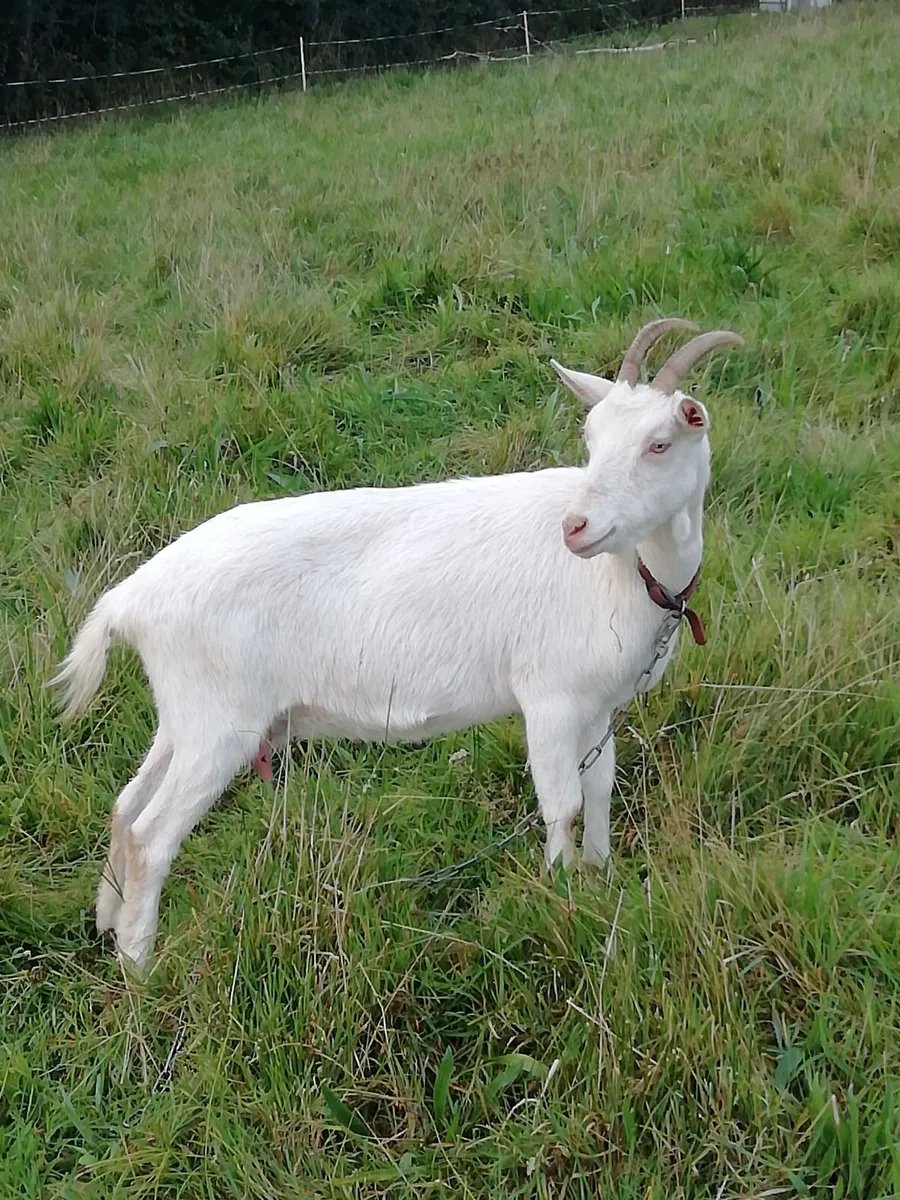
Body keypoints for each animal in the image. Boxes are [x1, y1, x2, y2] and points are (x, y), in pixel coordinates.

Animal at [53, 319, 743, 971]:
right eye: (592, 440)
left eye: (658, 444)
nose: (576, 528)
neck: (630, 573)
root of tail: (131, 600)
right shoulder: (548, 697)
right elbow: (562, 803)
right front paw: (560, 893)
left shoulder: (598, 704)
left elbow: (599, 790)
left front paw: (600, 882)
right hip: (220, 724)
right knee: (152, 836)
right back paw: (140, 967)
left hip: (187, 715)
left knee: (126, 806)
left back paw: (108, 926)